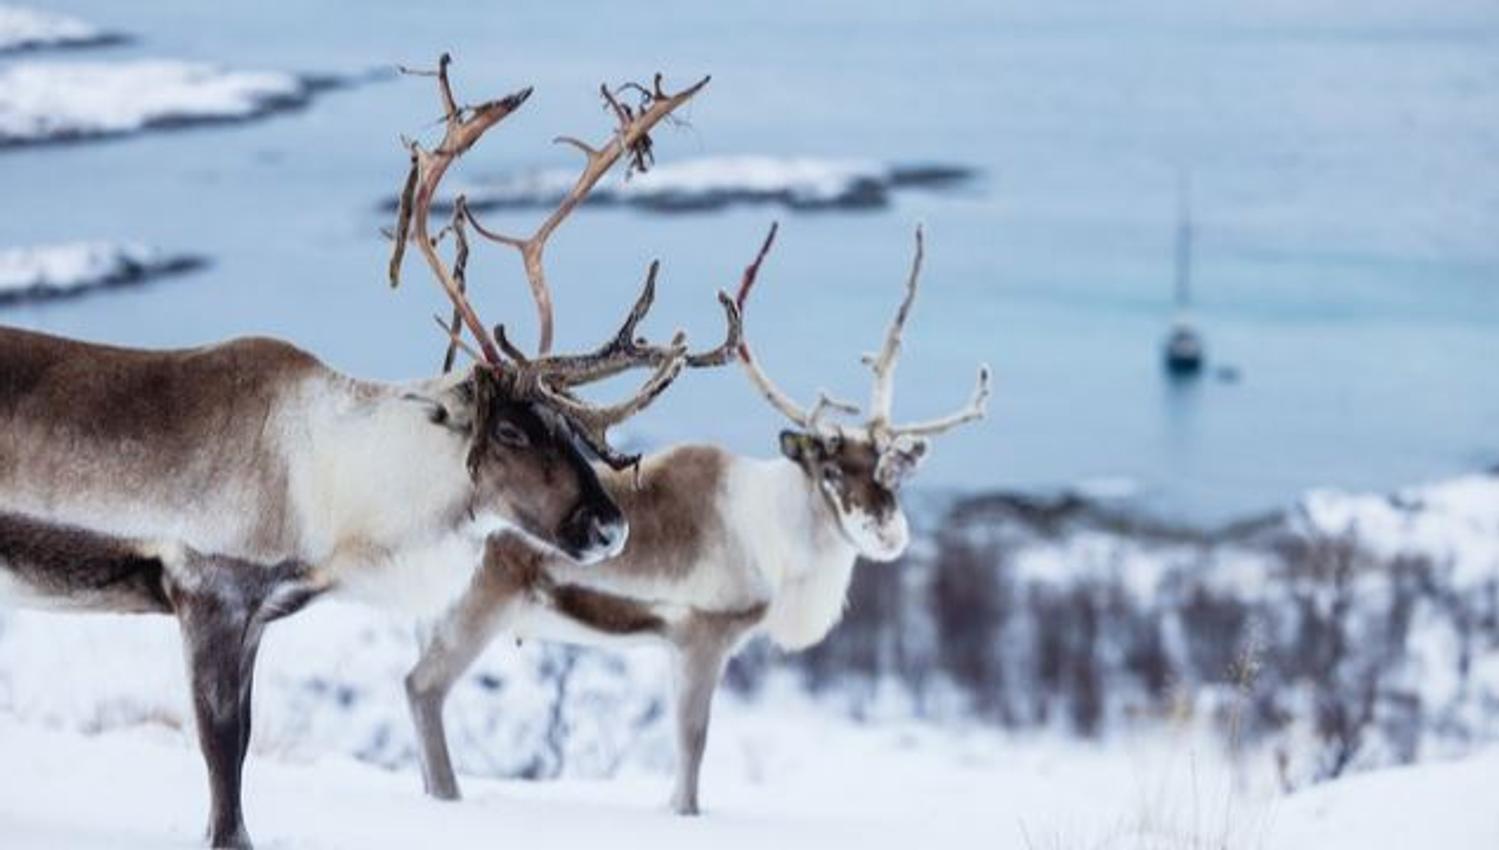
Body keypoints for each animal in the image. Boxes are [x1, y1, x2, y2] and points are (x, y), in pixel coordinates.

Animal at [0, 56, 729, 848]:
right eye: (508, 431)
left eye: (568, 429)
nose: (608, 527)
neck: (334, 483)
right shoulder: (210, 592)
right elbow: (222, 758)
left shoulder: (256, 615)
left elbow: (243, 744)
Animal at [402, 221, 990, 816]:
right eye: (829, 471)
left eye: (890, 471)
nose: (888, 532)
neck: (776, 538)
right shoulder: (702, 635)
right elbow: (692, 742)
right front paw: (685, 813)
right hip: (478, 608)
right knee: (421, 688)